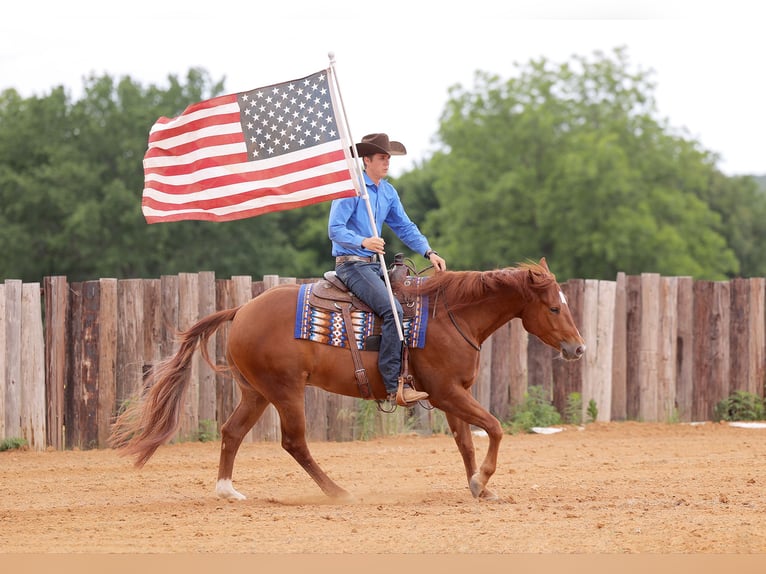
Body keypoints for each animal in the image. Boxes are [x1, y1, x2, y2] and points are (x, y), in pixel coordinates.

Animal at [111, 258, 584, 502]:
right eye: (554, 307)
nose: (578, 349)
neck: (451, 315)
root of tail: (241, 309)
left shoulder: (454, 395)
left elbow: (467, 440)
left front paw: (478, 487)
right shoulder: (447, 392)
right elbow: (495, 428)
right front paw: (483, 480)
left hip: (256, 393)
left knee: (231, 432)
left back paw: (228, 491)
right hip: (285, 390)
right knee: (294, 442)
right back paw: (337, 491)